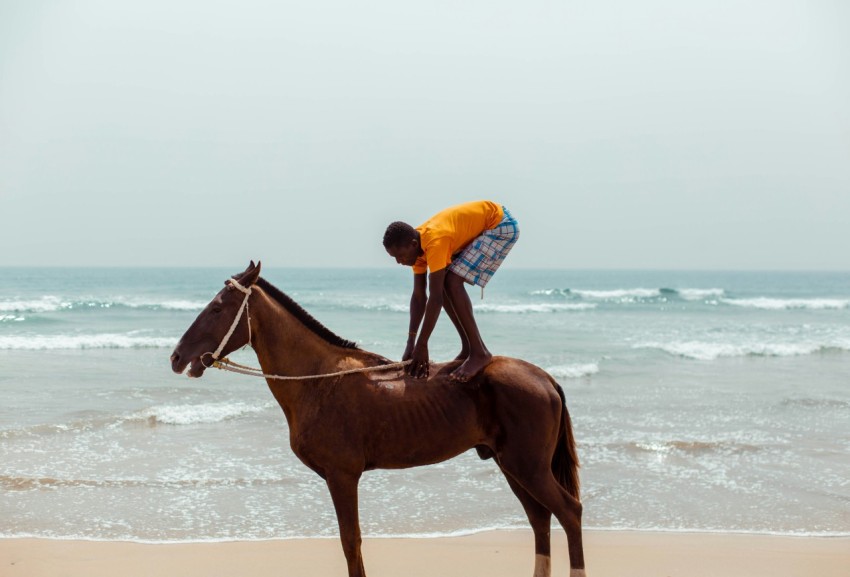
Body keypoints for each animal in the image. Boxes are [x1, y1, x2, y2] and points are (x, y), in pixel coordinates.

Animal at [170, 262, 588, 576]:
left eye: (217, 308)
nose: (176, 357)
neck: (318, 377)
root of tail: (545, 377)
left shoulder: (342, 476)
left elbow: (350, 543)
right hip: (511, 465)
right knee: (540, 519)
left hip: (527, 466)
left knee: (568, 513)